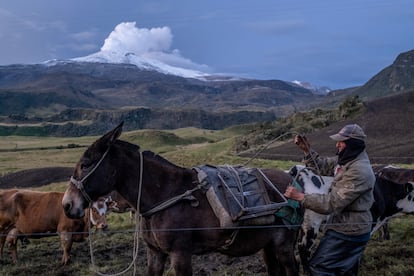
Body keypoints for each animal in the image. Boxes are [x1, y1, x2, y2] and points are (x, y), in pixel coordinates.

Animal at [61, 123, 300, 276]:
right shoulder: (155, 254)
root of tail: (292, 181)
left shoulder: (180, 255)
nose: (67, 204)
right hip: (267, 245)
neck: (164, 195)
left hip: (284, 246)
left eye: (86, 164)